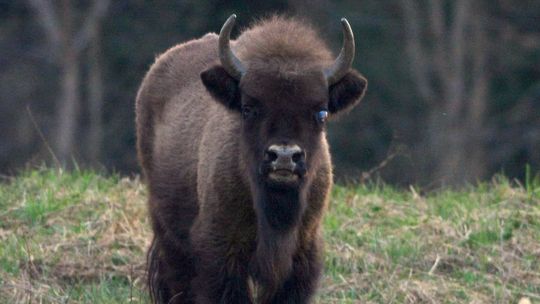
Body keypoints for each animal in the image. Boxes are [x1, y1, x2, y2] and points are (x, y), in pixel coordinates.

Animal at [136, 13, 368, 302]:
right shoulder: (221, 251)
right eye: (248, 108)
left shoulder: (301, 254)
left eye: (321, 112)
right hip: (167, 231)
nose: (284, 157)